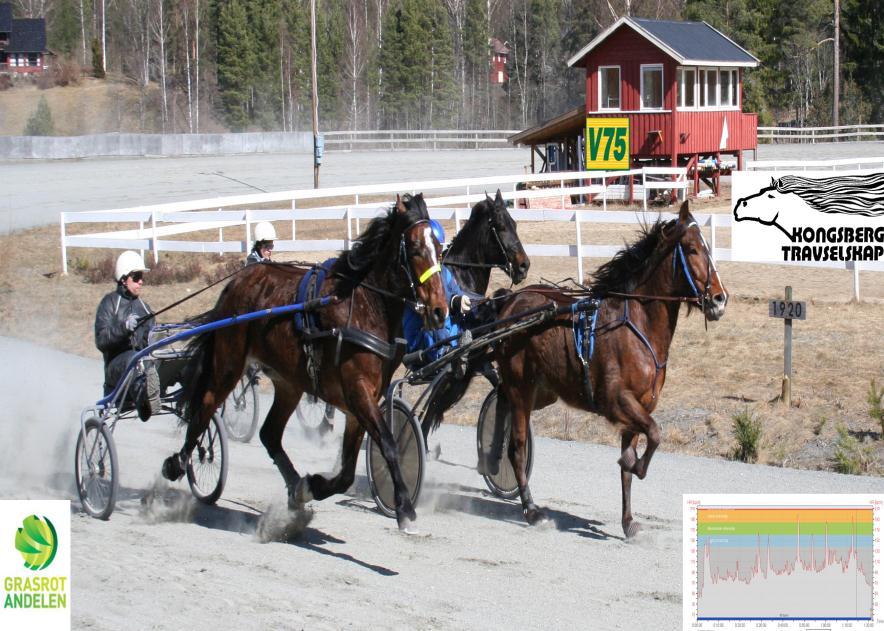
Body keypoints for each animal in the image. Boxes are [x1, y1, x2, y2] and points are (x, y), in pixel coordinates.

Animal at [167, 196, 448, 532]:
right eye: (416, 248)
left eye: (440, 248)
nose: (439, 311)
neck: (363, 307)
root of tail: (237, 281)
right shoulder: (357, 391)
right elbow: (389, 444)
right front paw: (404, 507)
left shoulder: (359, 402)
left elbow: (347, 473)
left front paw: (311, 485)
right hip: (229, 363)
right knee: (206, 405)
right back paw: (178, 461)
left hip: (289, 383)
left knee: (269, 433)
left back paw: (294, 487)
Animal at [494, 202, 728, 540]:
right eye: (693, 249)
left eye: (708, 247)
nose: (720, 299)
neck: (637, 326)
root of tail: (511, 300)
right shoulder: (616, 400)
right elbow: (654, 434)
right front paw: (634, 465)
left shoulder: (640, 406)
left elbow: (635, 457)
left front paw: (628, 519)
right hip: (519, 390)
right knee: (517, 448)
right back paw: (531, 509)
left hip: (542, 392)